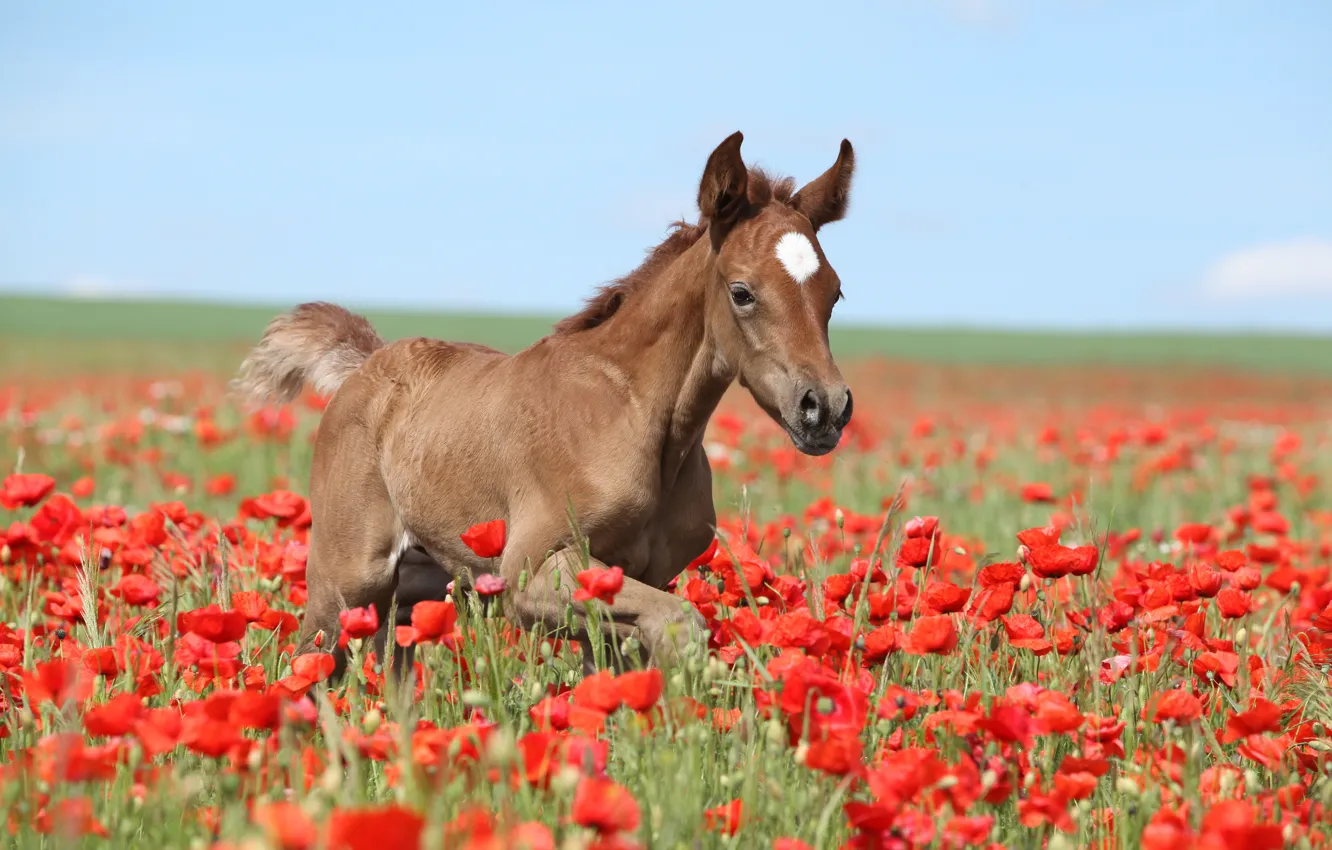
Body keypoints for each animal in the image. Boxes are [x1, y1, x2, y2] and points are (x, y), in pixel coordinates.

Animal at [232, 131, 857, 677]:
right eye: (742, 292)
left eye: (835, 292)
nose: (823, 409)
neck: (634, 415)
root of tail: (363, 367)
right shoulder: (531, 571)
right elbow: (680, 625)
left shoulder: (637, 577)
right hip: (346, 583)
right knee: (308, 665)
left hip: (420, 584)